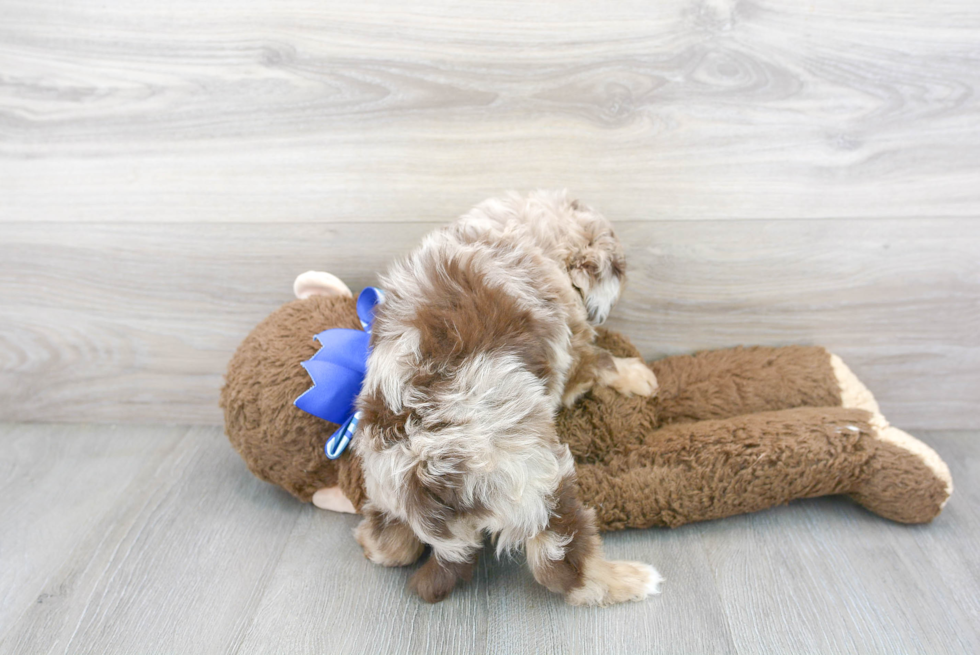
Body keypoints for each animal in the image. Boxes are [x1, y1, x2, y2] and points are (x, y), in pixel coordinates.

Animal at [350, 190, 660, 604]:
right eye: (620, 268)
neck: (525, 232)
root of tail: (426, 480)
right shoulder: (571, 348)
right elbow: (599, 361)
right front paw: (638, 375)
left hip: (383, 488)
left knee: (392, 547)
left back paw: (368, 541)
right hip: (540, 481)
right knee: (561, 568)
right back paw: (629, 579)